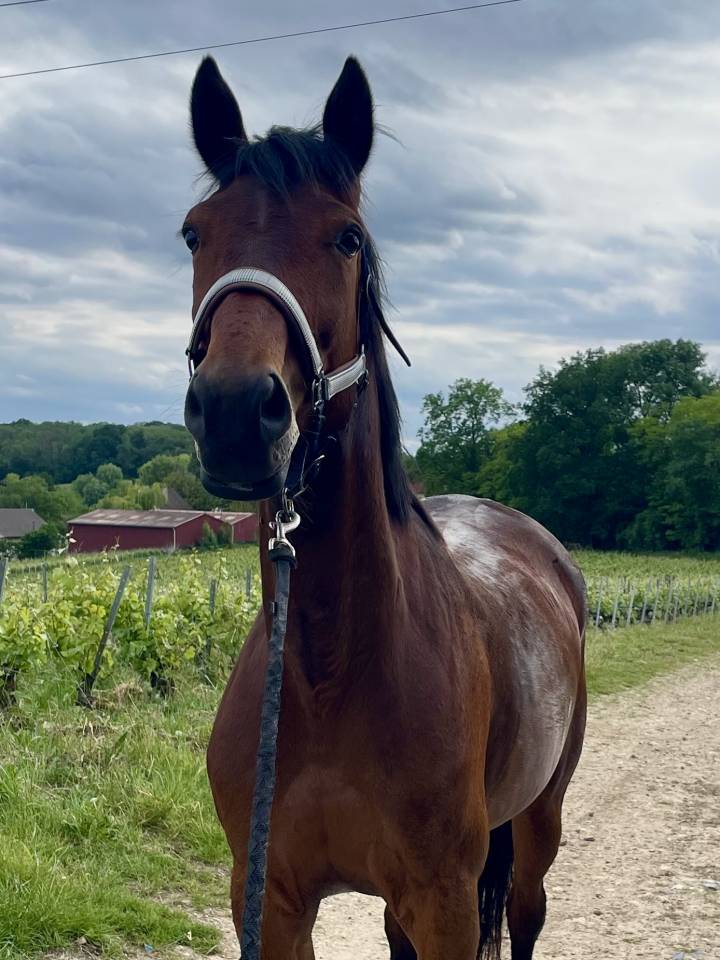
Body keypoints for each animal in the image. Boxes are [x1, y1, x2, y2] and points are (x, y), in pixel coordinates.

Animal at [182, 55, 587, 960]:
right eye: (193, 232)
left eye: (348, 238)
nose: (234, 412)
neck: (329, 672)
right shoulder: (272, 899)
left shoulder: (444, 900)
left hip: (539, 821)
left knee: (527, 913)